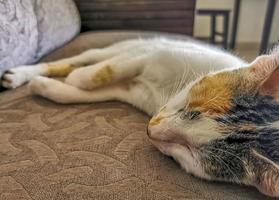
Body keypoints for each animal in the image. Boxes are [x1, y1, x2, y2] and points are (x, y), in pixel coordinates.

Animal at [1, 38, 278, 197]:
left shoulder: (131, 91)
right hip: (129, 45)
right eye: (190, 108)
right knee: (83, 59)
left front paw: (49, 87)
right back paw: (22, 74)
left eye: (190, 150)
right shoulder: (152, 54)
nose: (150, 129)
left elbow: (87, 90)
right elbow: (103, 71)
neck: (167, 90)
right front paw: (74, 78)